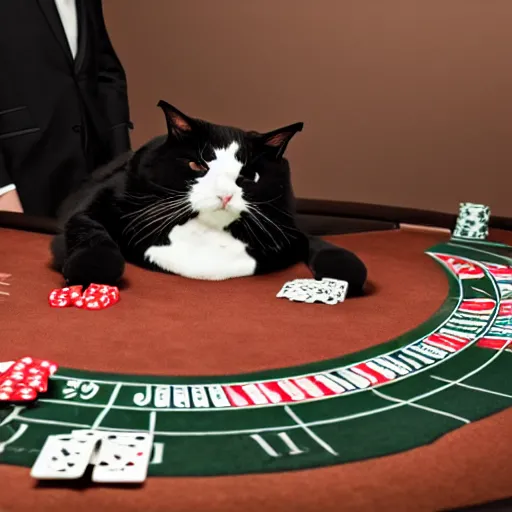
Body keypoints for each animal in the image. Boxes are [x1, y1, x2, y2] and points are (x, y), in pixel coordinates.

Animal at [50, 100, 366, 292]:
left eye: (249, 176)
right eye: (197, 165)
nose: (224, 195)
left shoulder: (289, 227)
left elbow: (322, 246)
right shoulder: (95, 205)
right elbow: (89, 230)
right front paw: (90, 268)